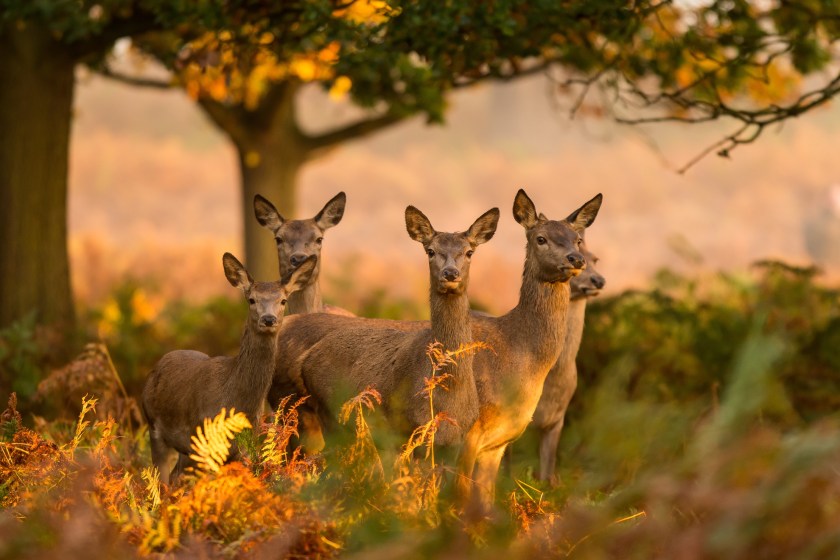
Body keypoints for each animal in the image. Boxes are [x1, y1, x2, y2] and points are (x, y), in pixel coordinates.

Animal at [141, 253, 316, 484]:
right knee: (161, 481)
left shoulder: (244, 449)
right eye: (251, 300)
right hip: (154, 427)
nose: (269, 319)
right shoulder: (206, 442)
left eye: (283, 300)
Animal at [269, 206, 500, 446]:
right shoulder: (402, 427)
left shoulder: (458, 437)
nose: (450, 273)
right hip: (325, 413)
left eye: (469, 252)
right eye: (430, 251)